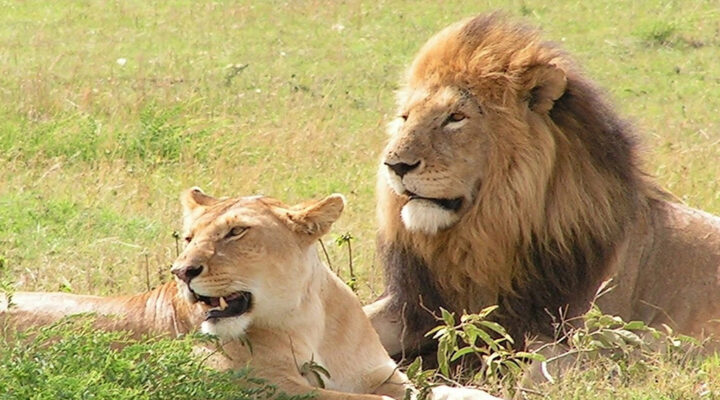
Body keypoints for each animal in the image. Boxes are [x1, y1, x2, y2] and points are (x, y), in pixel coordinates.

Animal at [2, 188, 499, 400]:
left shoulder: (386, 375)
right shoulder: (270, 390)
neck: (306, 321)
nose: (181, 272)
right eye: (189, 238)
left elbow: (438, 391)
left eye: (235, 232)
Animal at [364, 13, 720, 359]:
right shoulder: (416, 306)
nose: (394, 165)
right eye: (405, 117)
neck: (484, 236)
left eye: (455, 117)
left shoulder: (586, 332)